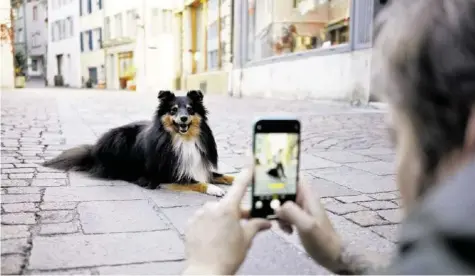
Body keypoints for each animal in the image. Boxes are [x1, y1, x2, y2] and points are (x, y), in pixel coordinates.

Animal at [41, 90, 235, 196]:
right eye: (173, 110)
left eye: (190, 109)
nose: (183, 118)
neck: (182, 139)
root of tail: (94, 150)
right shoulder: (166, 175)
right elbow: (196, 182)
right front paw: (214, 189)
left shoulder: (199, 166)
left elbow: (222, 175)